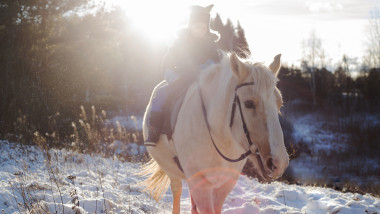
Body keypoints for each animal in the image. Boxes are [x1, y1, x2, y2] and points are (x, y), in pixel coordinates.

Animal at [141, 52, 290, 214]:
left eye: (280, 104)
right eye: (249, 103)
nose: (279, 163)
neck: (219, 137)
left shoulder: (223, 186)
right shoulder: (201, 185)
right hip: (173, 173)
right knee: (177, 191)